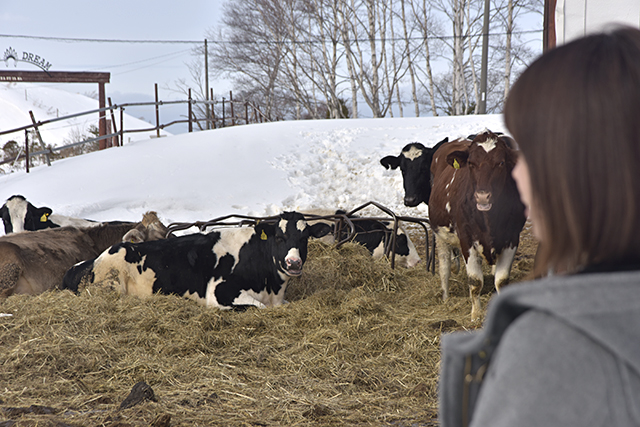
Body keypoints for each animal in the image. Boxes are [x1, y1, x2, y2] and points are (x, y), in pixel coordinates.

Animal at [62, 212, 332, 310]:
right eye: (279, 236)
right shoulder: (219, 292)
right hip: (113, 280)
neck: (272, 287)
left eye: (305, 237)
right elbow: (259, 307)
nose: (293, 263)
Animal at [428, 130, 528, 320]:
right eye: (471, 163)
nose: (482, 196)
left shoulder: (512, 238)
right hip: (440, 235)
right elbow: (475, 282)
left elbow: (501, 281)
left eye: (501, 163)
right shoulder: (466, 240)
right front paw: (476, 314)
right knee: (444, 265)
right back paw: (445, 296)